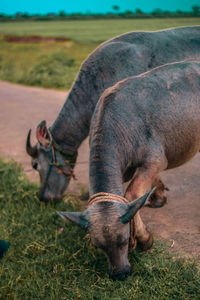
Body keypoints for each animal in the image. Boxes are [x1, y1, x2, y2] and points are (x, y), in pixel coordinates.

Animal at [57, 61, 200, 282]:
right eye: (98, 245)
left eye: (124, 240)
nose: (120, 273)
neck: (119, 127)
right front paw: (158, 197)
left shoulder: (154, 161)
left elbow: (132, 194)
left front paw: (145, 239)